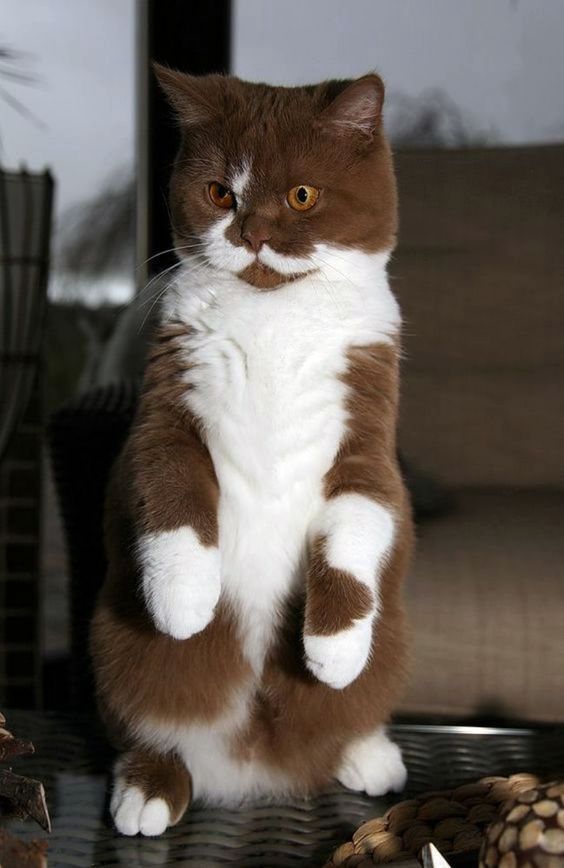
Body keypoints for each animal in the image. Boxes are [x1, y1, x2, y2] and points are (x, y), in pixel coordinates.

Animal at [90, 68, 412, 836]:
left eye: (302, 195)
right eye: (218, 193)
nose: (253, 232)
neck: (275, 316)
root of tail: (256, 763)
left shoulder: (369, 434)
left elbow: (363, 518)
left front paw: (334, 649)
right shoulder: (165, 407)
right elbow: (167, 483)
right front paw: (183, 600)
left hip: (394, 646)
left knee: (356, 705)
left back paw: (367, 753)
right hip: (117, 648)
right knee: (145, 720)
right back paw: (148, 787)